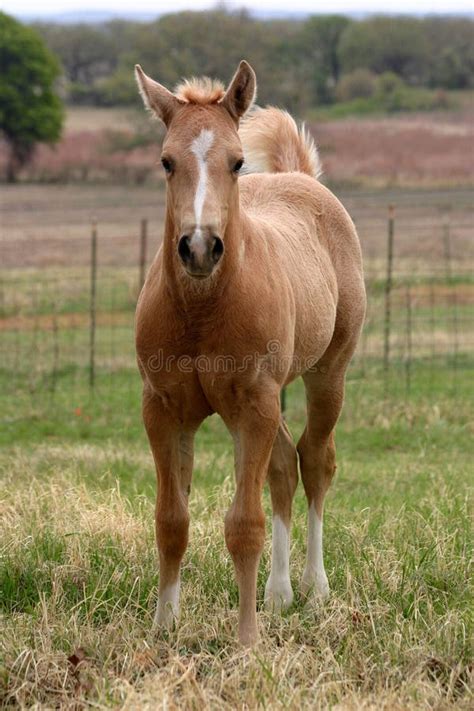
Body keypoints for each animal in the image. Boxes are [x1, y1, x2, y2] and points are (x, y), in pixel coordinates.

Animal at [134, 61, 366, 644]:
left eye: (236, 162)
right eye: (166, 161)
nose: (198, 247)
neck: (201, 312)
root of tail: (301, 177)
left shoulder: (252, 406)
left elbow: (244, 525)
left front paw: (246, 641)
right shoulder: (163, 410)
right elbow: (172, 520)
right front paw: (163, 627)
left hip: (327, 373)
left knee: (315, 460)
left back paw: (313, 588)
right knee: (283, 465)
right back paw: (278, 594)